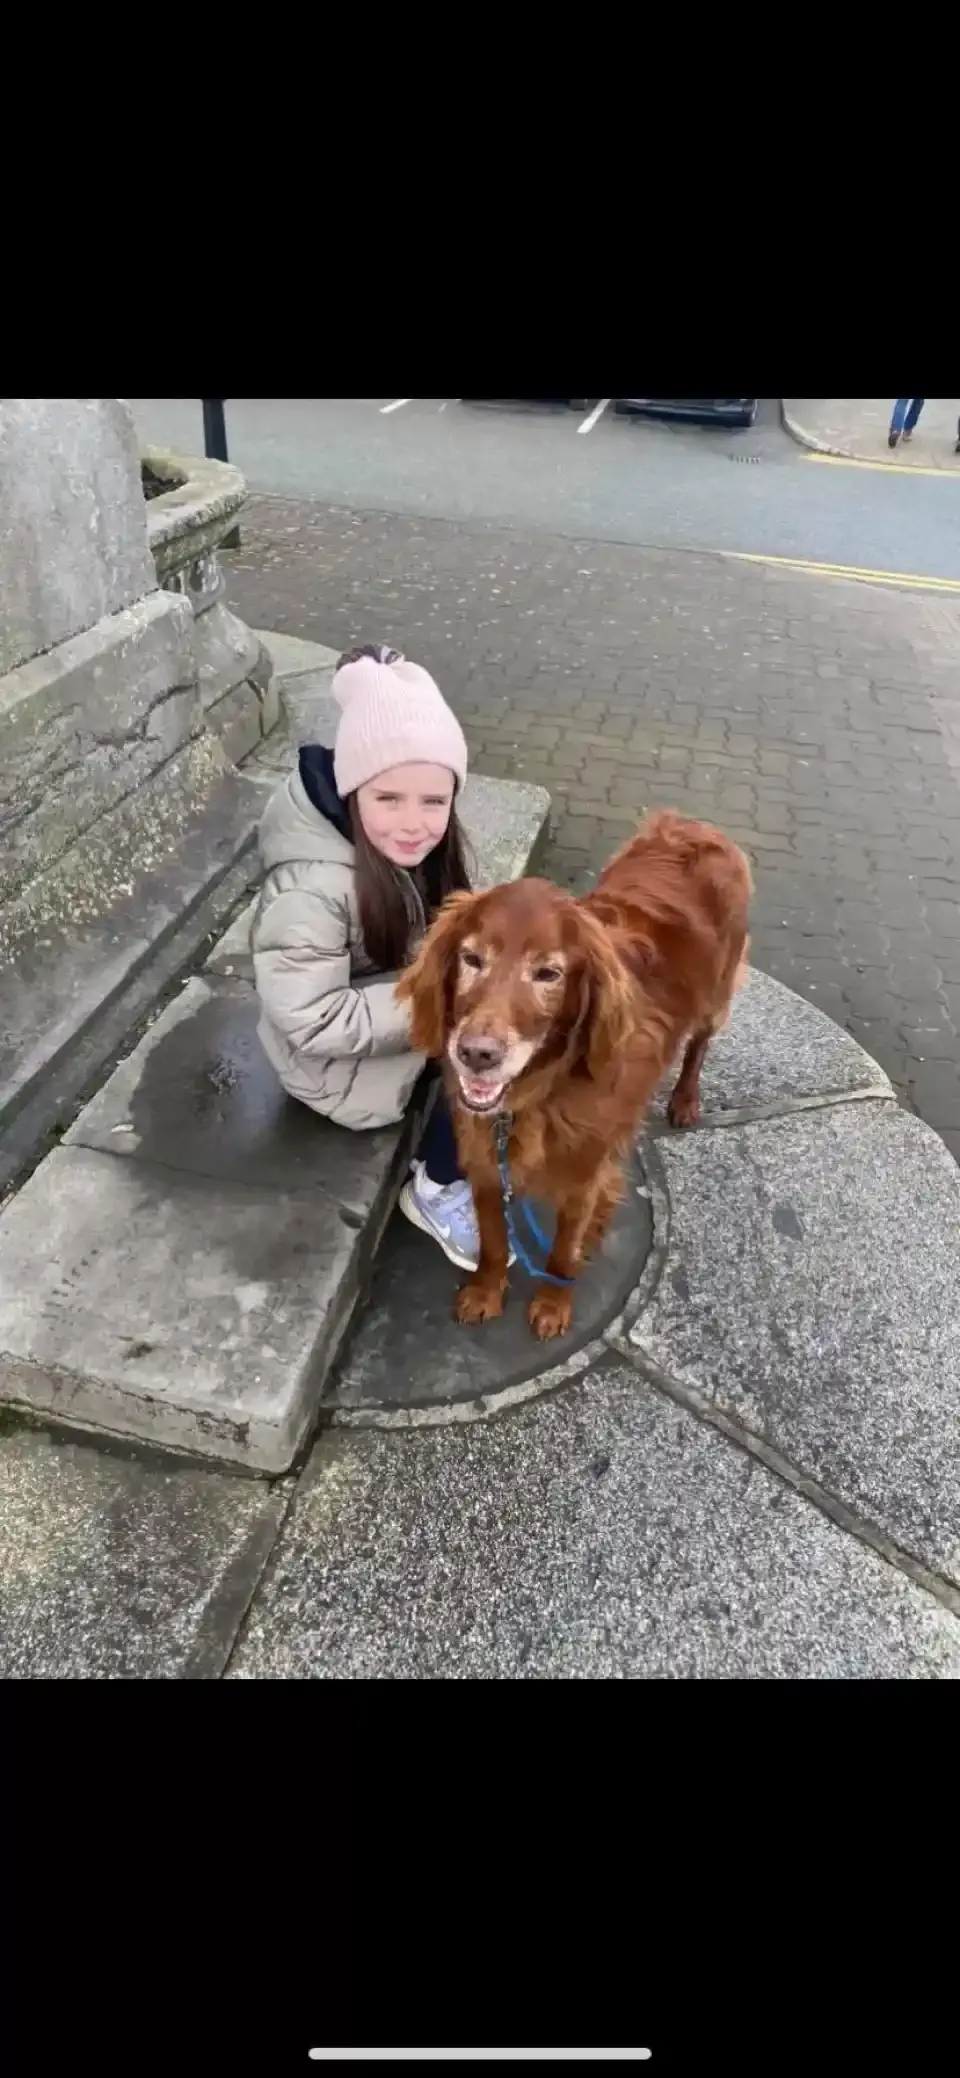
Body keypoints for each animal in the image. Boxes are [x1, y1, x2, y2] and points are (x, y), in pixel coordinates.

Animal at [397, 811, 751, 1341]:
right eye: (471, 959)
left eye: (549, 974)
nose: (475, 1054)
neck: (541, 1093)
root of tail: (694, 825)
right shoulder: (485, 1160)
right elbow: (494, 1241)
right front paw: (486, 1292)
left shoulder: (585, 1179)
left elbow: (563, 1253)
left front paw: (553, 1304)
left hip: (717, 992)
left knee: (699, 1045)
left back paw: (686, 1099)